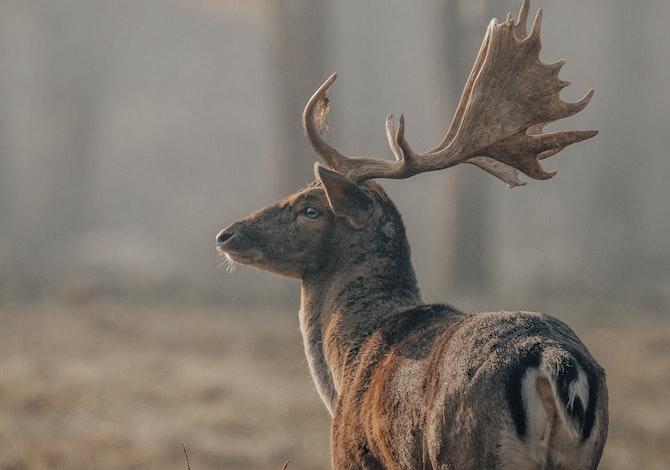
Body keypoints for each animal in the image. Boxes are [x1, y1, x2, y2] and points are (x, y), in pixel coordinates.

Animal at [218, 1, 612, 468]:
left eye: (311, 209)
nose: (227, 235)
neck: (347, 365)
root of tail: (555, 361)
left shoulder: (351, 452)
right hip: (582, 453)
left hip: (461, 447)